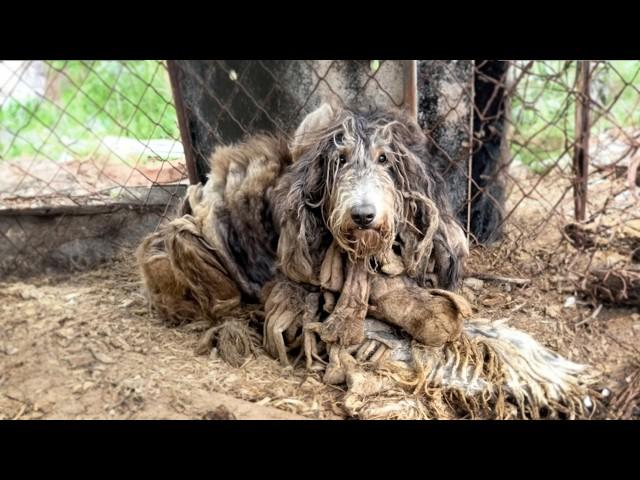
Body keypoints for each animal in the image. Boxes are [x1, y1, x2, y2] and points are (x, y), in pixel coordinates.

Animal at [138, 103, 596, 418]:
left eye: (384, 159)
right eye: (339, 161)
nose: (362, 215)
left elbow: (490, 333)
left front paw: (550, 369)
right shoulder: (329, 317)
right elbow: (440, 344)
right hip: (185, 244)